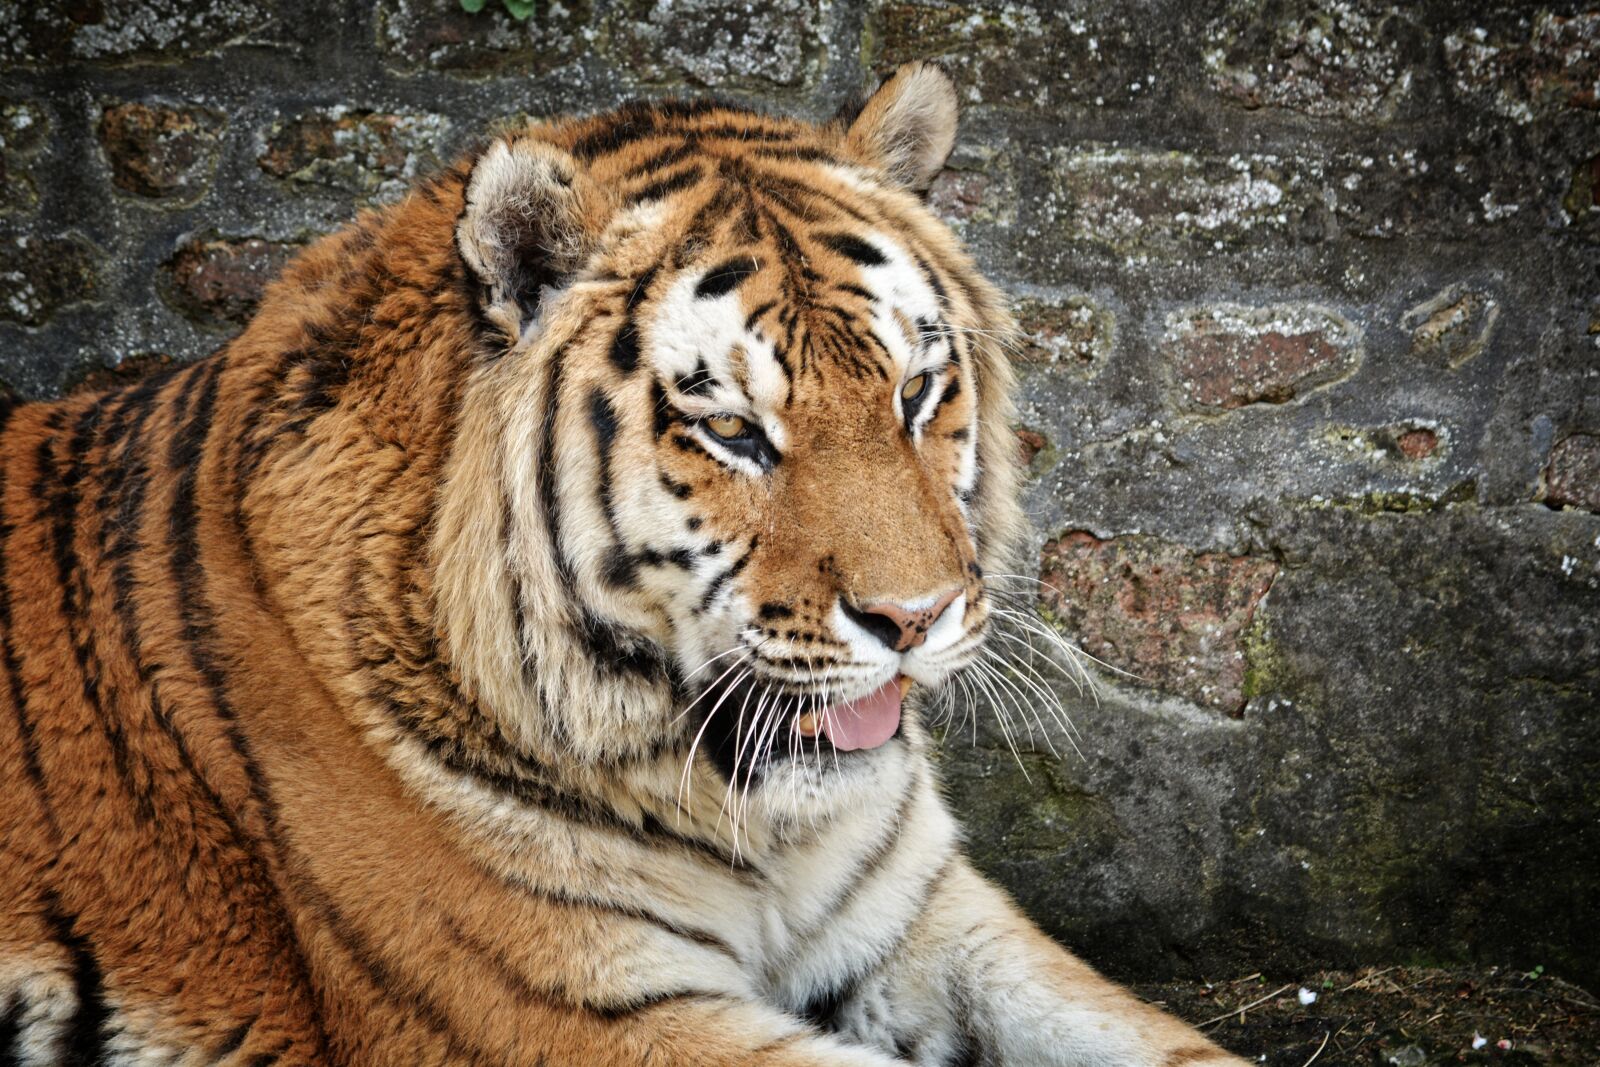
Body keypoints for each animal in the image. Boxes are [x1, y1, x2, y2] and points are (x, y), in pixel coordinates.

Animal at [0, 62, 1248, 1066]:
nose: (916, 616)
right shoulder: (570, 1011)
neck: (757, 823)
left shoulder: (926, 917)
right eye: (732, 429)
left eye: (913, 392)